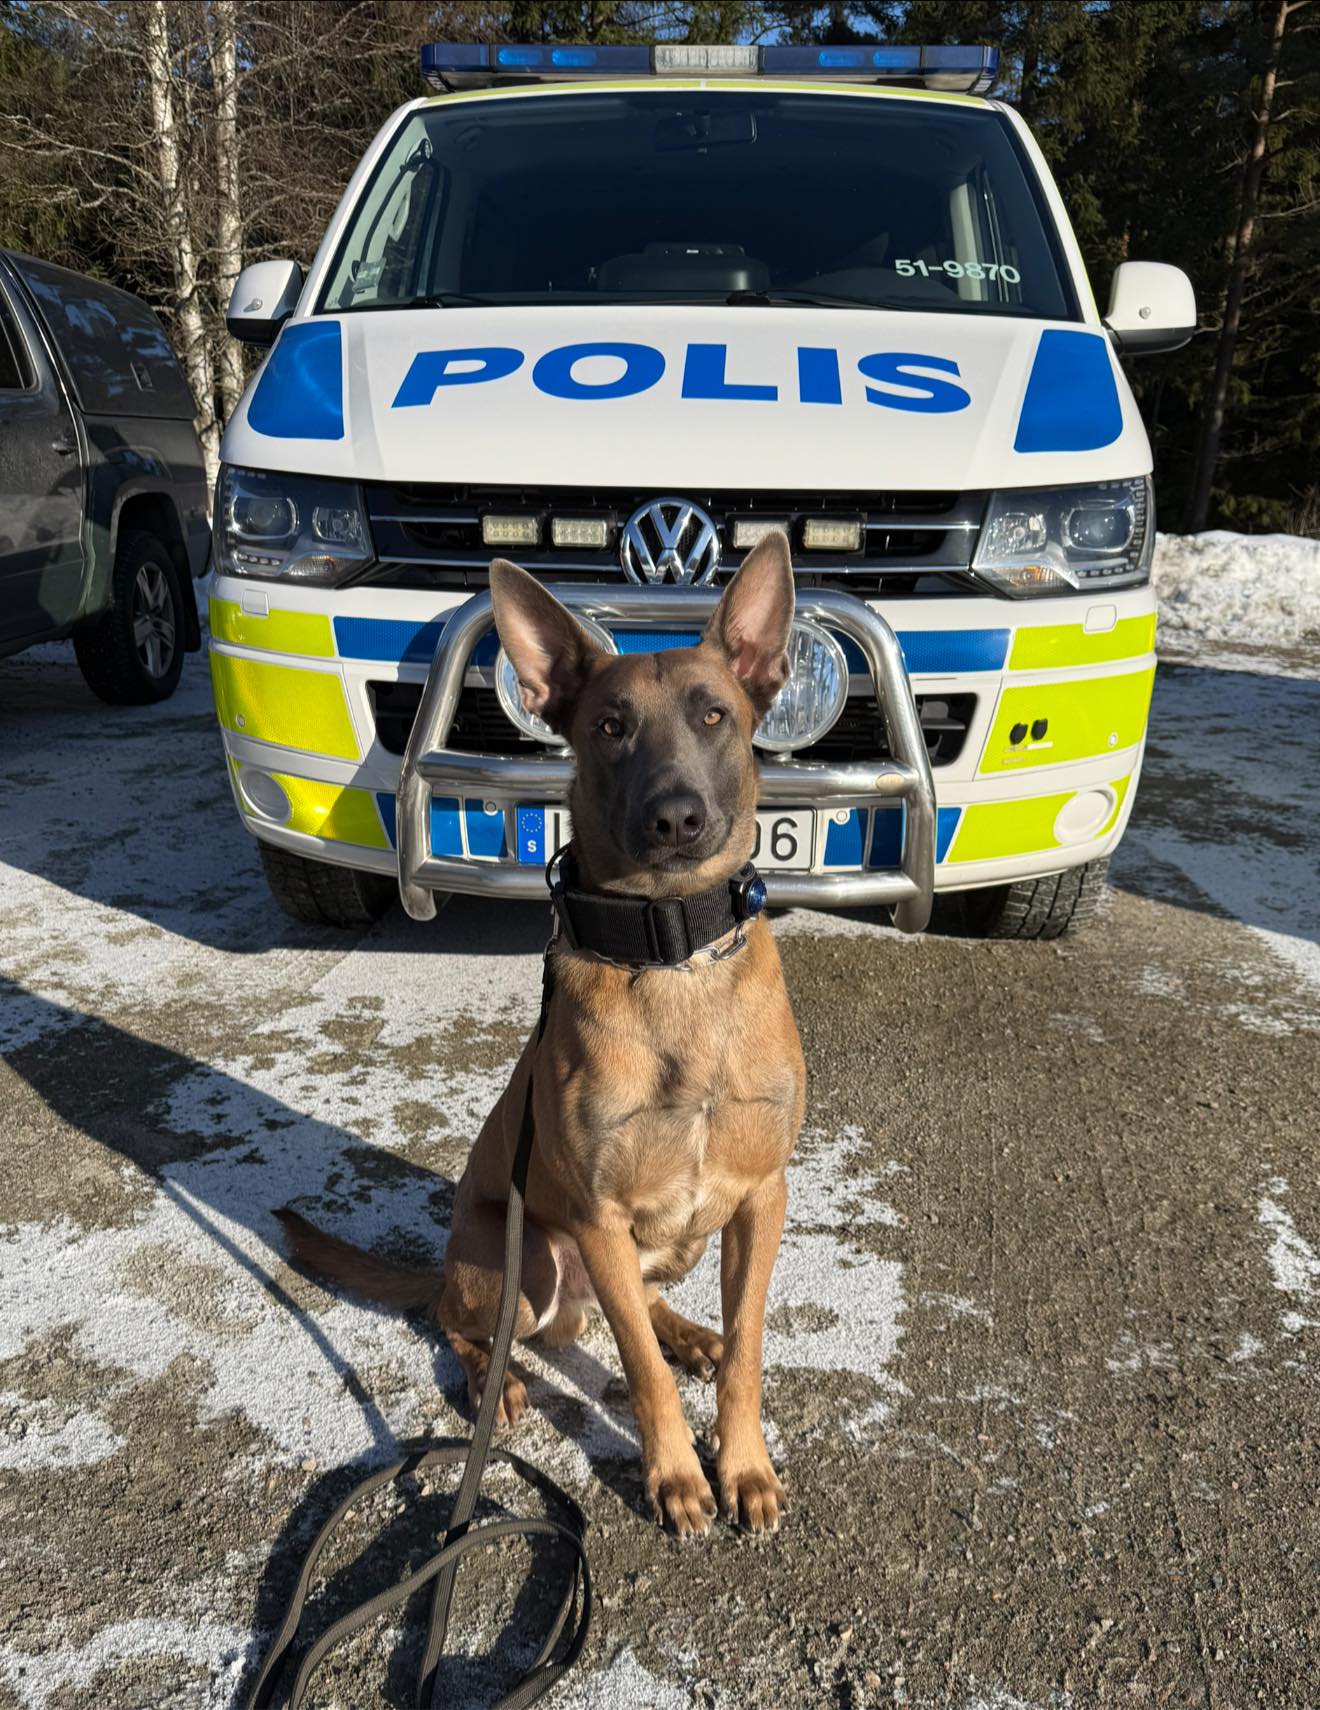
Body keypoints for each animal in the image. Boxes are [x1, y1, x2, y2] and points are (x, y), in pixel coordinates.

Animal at [278, 530, 806, 1536]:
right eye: (609, 728)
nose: (675, 817)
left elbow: (749, 1349)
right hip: (529, 1268)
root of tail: (447, 1261)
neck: (672, 951)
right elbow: (639, 1372)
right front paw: (677, 1474)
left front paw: (743, 1463)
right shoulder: (597, 1219)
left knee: (644, 1306)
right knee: (462, 1323)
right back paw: (500, 1377)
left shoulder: (761, 1198)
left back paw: (689, 1333)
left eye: (714, 714)